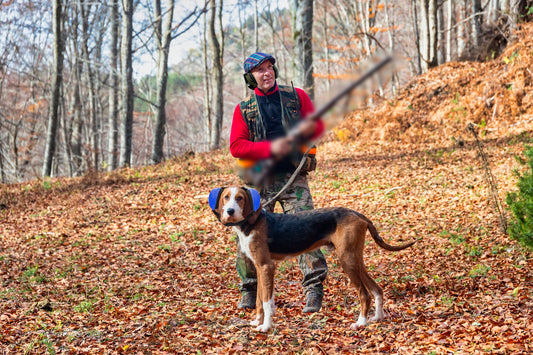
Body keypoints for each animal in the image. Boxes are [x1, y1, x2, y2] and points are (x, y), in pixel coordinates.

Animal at [209, 188, 416, 332]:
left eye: (240, 198)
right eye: (226, 197)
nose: (229, 211)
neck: (251, 223)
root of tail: (358, 214)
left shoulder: (266, 267)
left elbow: (267, 302)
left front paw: (266, 327)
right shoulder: (260, 269)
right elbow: (260, 300)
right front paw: (257, 322)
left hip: (347, 261)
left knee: (364, 294)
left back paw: (360, 323)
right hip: (356, 260)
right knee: (377, 289)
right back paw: (377, 318)